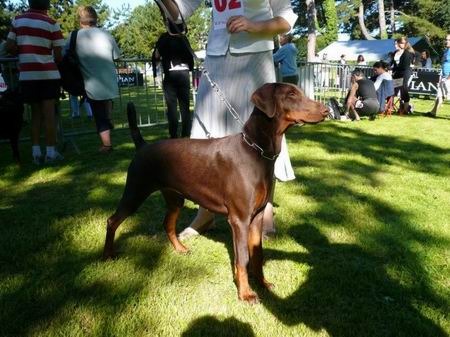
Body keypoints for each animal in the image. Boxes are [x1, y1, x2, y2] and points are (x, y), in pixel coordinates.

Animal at [103, 82, 326, 304]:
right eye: (291, 94)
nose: (326, 110)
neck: (256, 151)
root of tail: (143, 146)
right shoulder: (239, 219)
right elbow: (243, 258)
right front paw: (245, 293)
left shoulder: (257, 216)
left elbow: (257, 254)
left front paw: (262, 283)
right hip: (136, 191)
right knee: (112, 220)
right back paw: (108, 254)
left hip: (175, 198)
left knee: (167, 223)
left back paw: (180, 249)